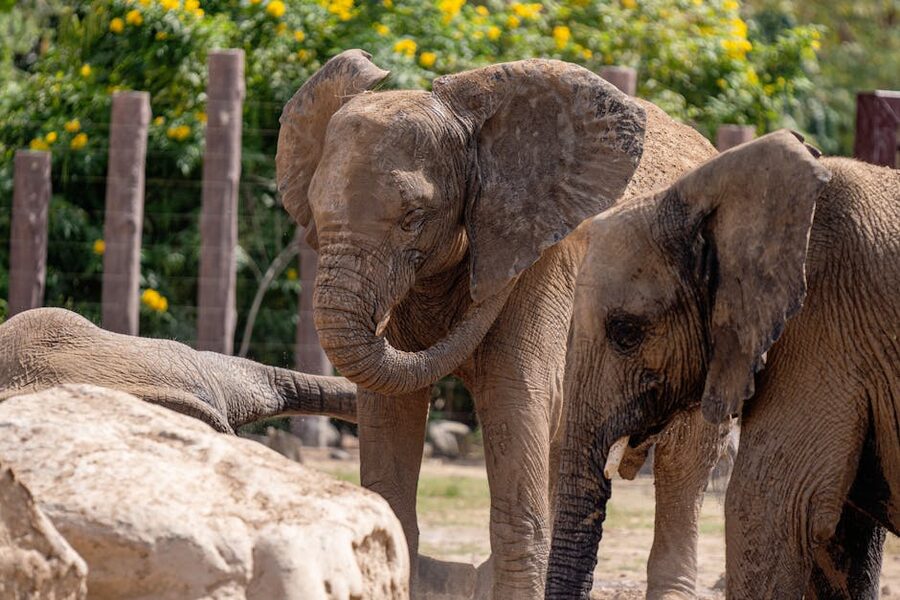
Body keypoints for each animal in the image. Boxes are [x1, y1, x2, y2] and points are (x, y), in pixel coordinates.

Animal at [276, 49, 729, 598]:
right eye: (316, 213)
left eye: (413, 218)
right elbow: (391, 408)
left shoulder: (549, 259)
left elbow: (516, 395)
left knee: (686, 464)